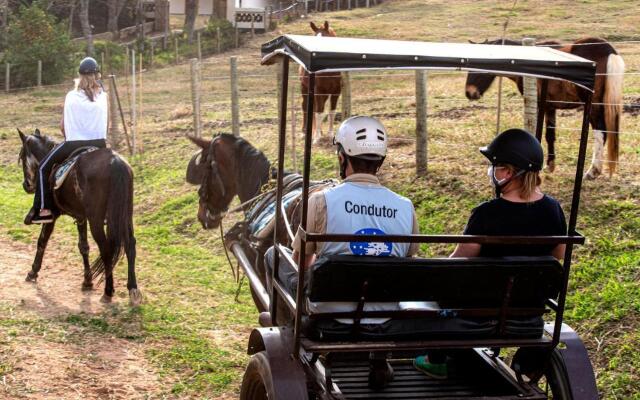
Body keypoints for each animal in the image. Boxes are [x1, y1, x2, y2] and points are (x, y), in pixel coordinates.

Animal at [17, 130, 141, 304]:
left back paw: (108, 291)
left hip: (96, 220)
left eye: (22, 157)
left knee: (106, 249)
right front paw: (87, 281)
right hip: (125, 215)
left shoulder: (53, 215)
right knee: (130, 244)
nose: (26, 185)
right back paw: (133, 288)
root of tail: (114, 162)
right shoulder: (81, 216)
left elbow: (42, 241)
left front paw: (33, 272)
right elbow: (84, 247)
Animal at [464, 37, 624, 180]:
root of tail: (608, 50)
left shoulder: (538, 105)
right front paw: (550, 165)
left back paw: (593, 171)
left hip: (594, 107)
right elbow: (550, 135)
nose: (469, 92)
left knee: (600, 132)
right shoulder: (550, 107)